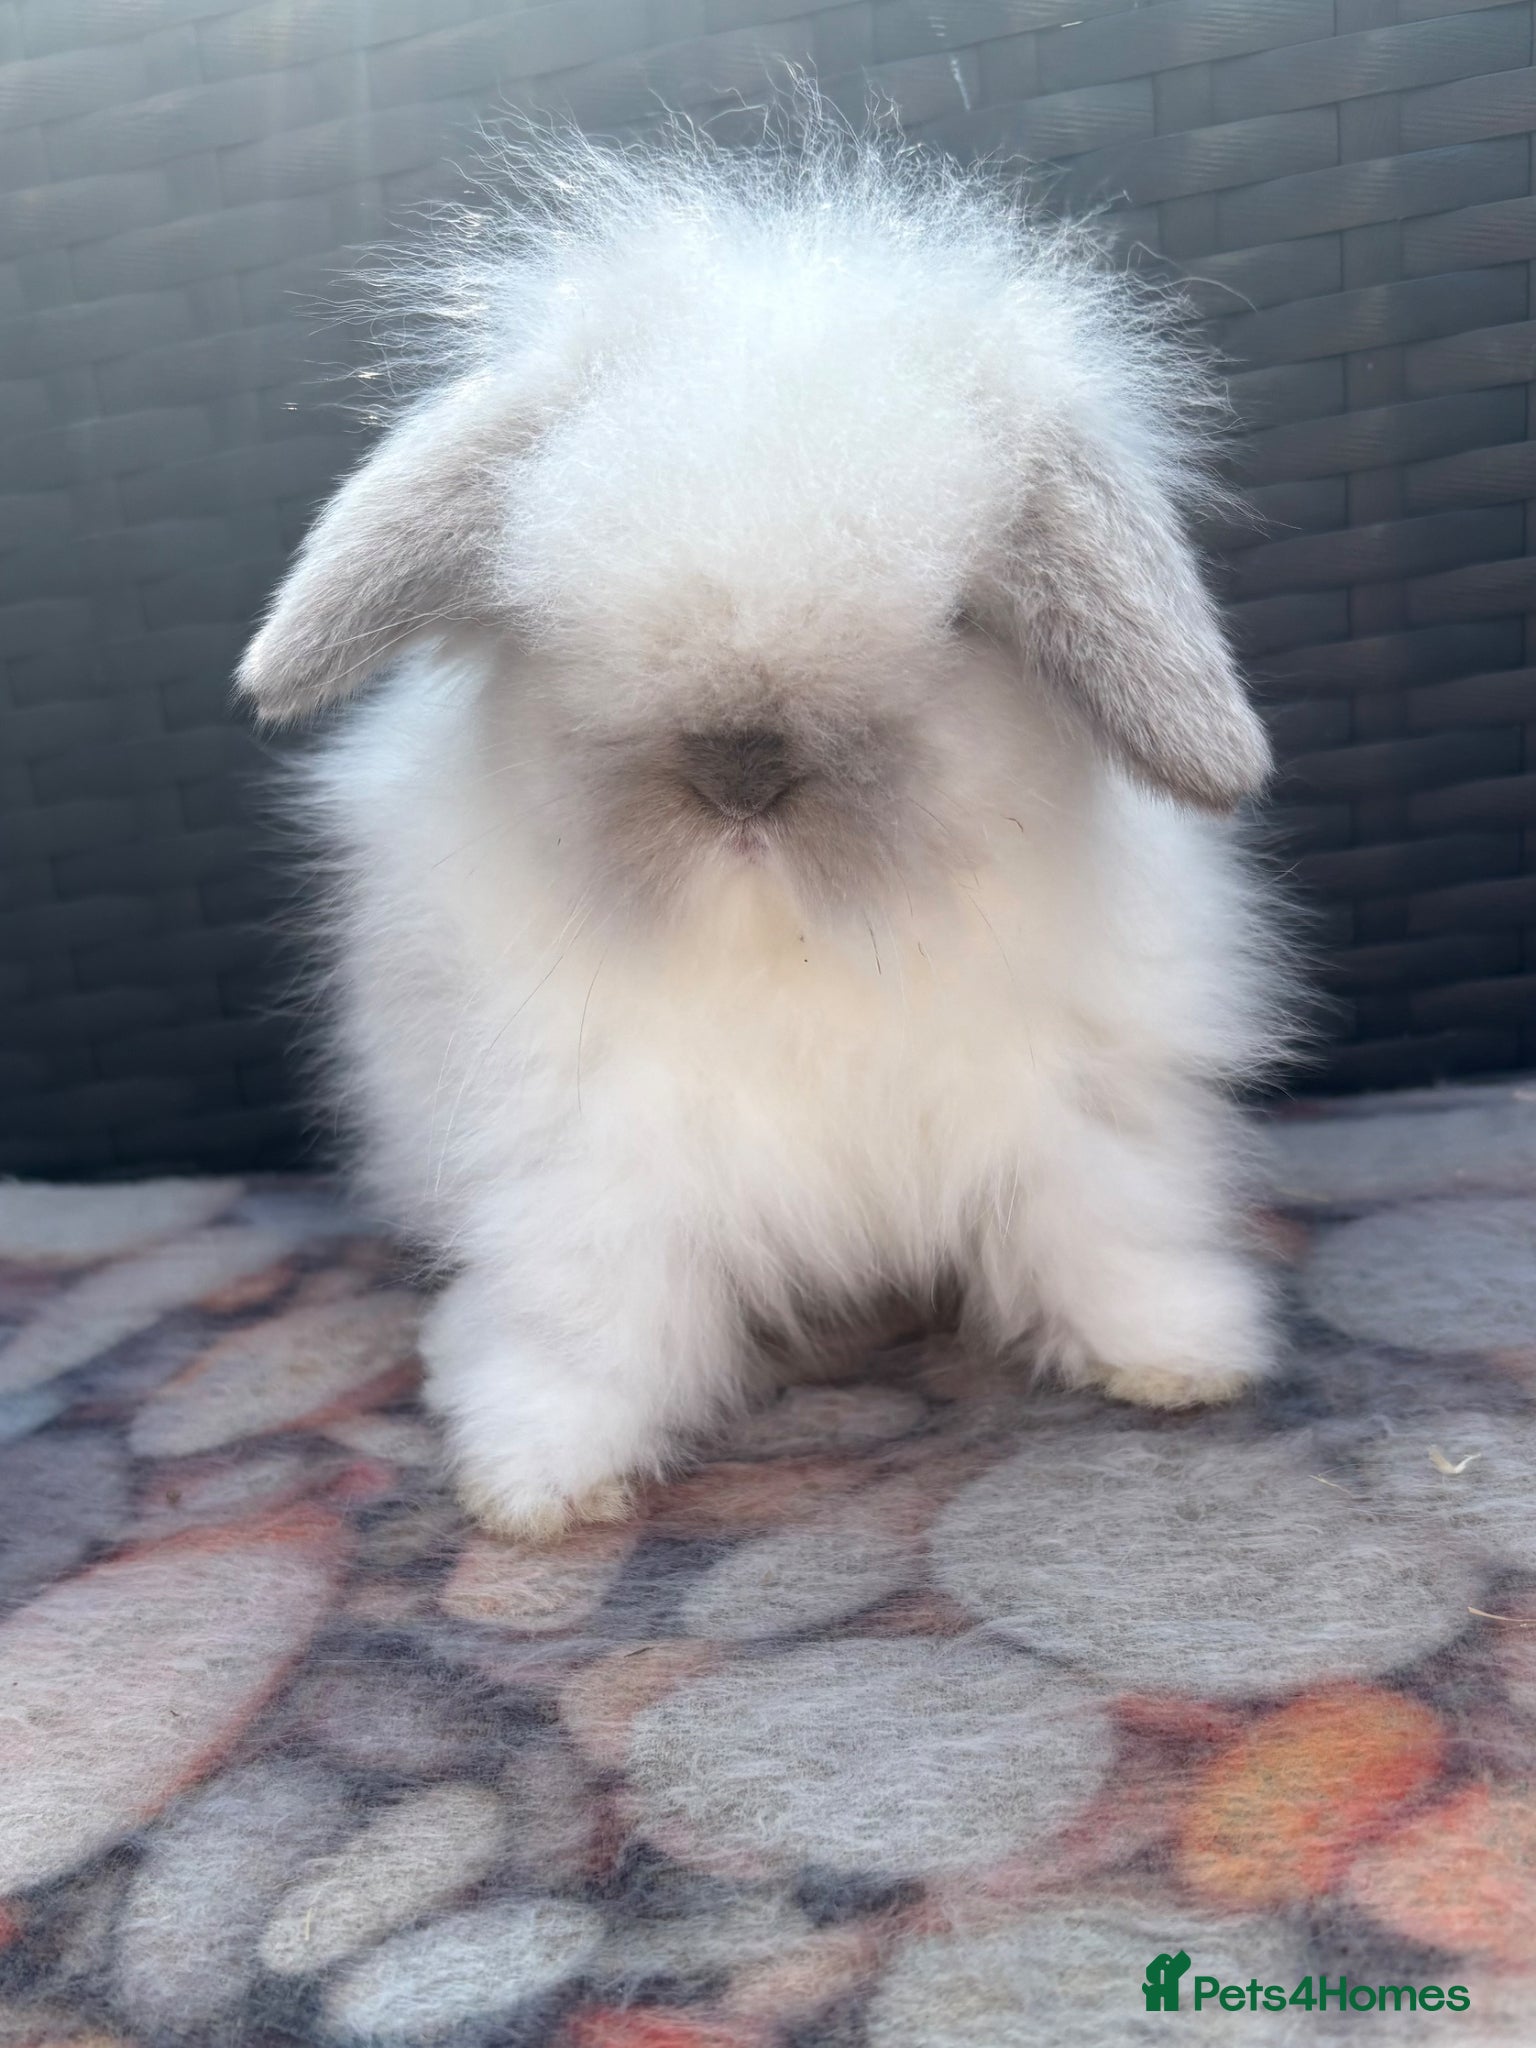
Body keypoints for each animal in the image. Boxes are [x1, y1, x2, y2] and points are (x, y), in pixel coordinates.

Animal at [238, 111, 1293, 1539]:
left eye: (956, 615)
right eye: (555, 597)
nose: (740, 769)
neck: (795, 940)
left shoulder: (1083, 1103)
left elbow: (1107, 1225)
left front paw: (1178, 1357)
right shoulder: (582, 1158)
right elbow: (587, 1320)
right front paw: (539, 1478)